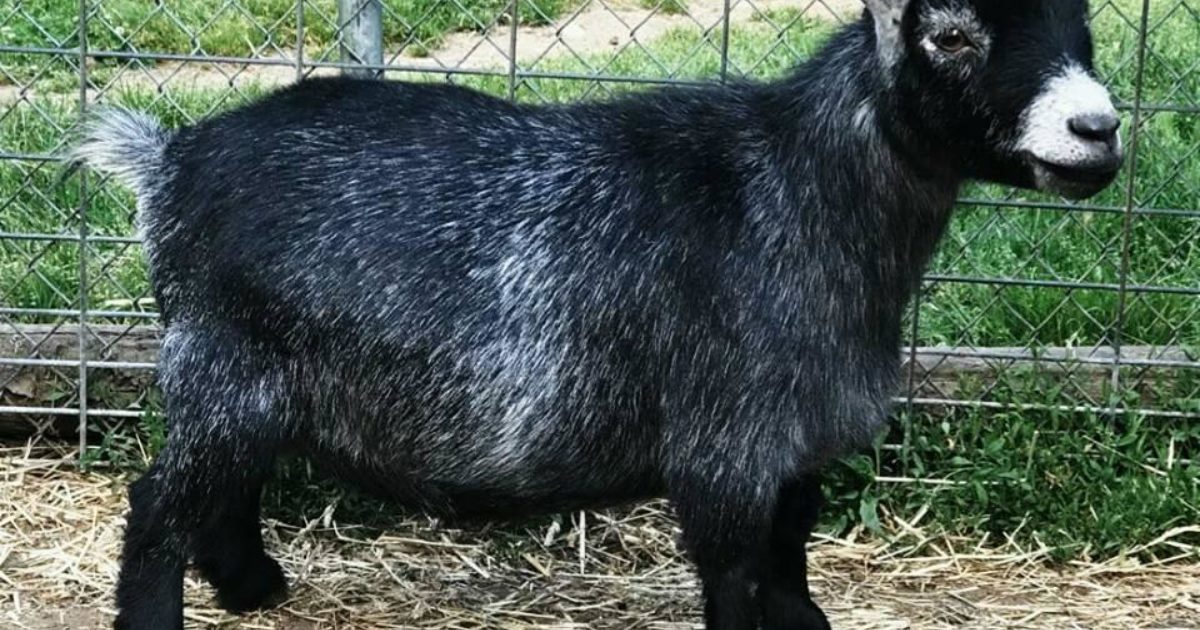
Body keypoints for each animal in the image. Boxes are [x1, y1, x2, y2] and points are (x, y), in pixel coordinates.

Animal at [76, 1, 1123, 628]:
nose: (1099, 130)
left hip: (254, 376)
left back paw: (253, 588)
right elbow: (738, 572)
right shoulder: (725, 444)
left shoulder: (796, 444)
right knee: (159, 504)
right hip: (223, 364)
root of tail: (168, 162)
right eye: (950, 33)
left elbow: (791, 549)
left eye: (1079, 25)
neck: (796, 185)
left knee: (226, 488)